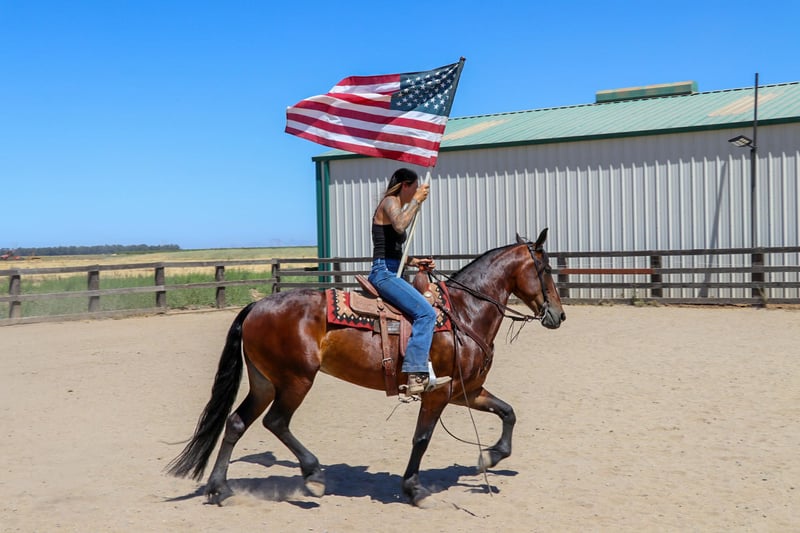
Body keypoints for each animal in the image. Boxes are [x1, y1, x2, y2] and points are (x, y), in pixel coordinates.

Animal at [167, 228, 565, 506]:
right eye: (545, 268)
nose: (559, 315)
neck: (464, 313)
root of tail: (256, 306)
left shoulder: (466, 390)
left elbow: (508, 412)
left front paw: (490, 456)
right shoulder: (437, 394)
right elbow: (422, 438)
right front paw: (413, 489)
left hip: (265, 381)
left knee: (236, 422)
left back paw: (219, 488)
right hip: (296, 380)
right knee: (276, 422)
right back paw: (312, 474)